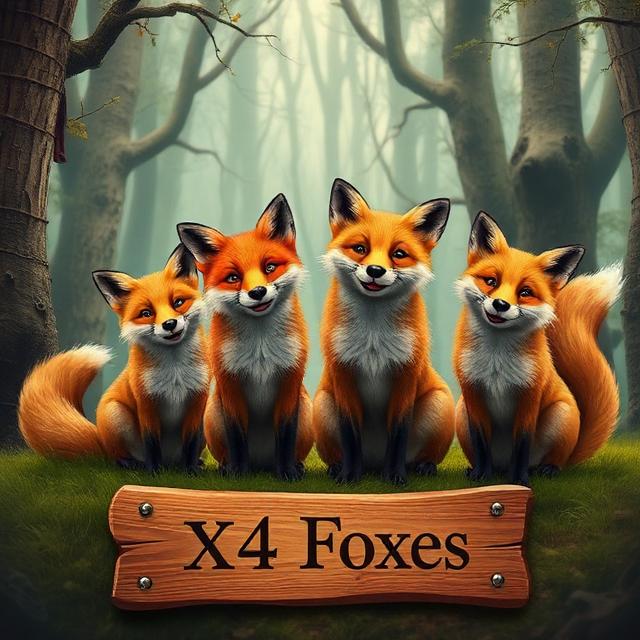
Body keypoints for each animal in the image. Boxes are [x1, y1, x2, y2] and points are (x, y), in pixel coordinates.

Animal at [18, 245, 210, 473]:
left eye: (178, 302)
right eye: (146, 313)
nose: (170, 324)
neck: (175, 373)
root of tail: (100, 439)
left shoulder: (197, 401)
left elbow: (191, 443)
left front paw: (191, 470)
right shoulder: (146, 403)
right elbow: (151, 443)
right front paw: (154, 472)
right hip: (115, 413)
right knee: (118, 457)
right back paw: (134, 464)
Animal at [177, 193, 313, 481]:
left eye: (270, 267)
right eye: (233, 277)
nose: (257, 292)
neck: (260, 350)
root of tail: (262, 463)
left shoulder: (289, 382)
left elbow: (286, 436)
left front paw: (286, 473)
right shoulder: (230, 386)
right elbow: (237, 438)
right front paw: (239, 473)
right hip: (212, 412)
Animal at [313, 178, 455, 485]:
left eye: (398, 254)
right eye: (360, 248)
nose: (375, 270)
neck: (373, 338)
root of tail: (373, 464)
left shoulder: (405, 374)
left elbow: (399, 435)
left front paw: (396, 477)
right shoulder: (343, 373)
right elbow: (350, 435)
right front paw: (349, 477)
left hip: (440, 403)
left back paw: (422, 467)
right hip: (321, 404)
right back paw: (338, 468)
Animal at [454, 211, 622, 485]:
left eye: (525, 292)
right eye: (491, 281)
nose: (500, 304)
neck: (496, 361)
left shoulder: (529, 396)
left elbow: (522, 445)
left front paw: (519, 480)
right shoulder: (473, 394)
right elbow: (481, 445)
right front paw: (481, 475)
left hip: (560, 416)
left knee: (552, 461)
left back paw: (546, 470)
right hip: (460, 412)